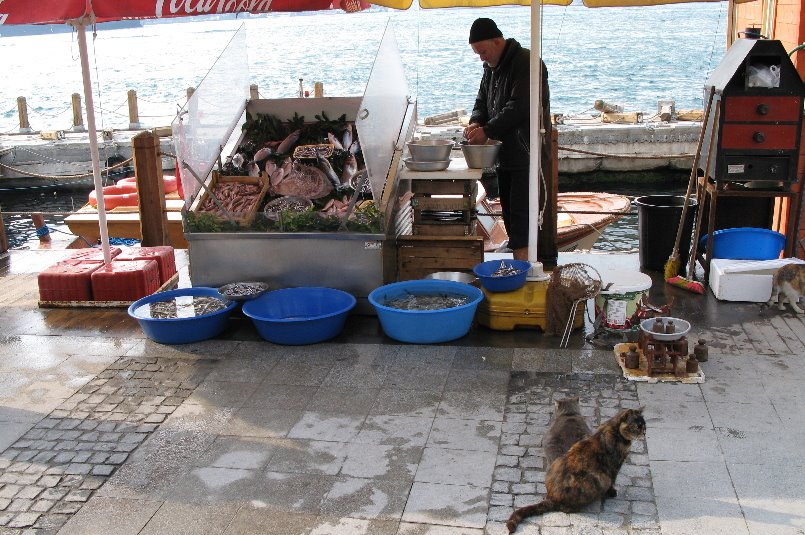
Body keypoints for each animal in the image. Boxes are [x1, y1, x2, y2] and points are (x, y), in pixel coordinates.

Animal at [506, 408, 644, 532]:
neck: (615, 431)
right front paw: (612, 492)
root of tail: (551, 496)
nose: (644, 433)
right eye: (637, 426)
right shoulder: (614, 466)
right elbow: (613, 481)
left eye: (644, 426)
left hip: (556, 460)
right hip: (595, 480)